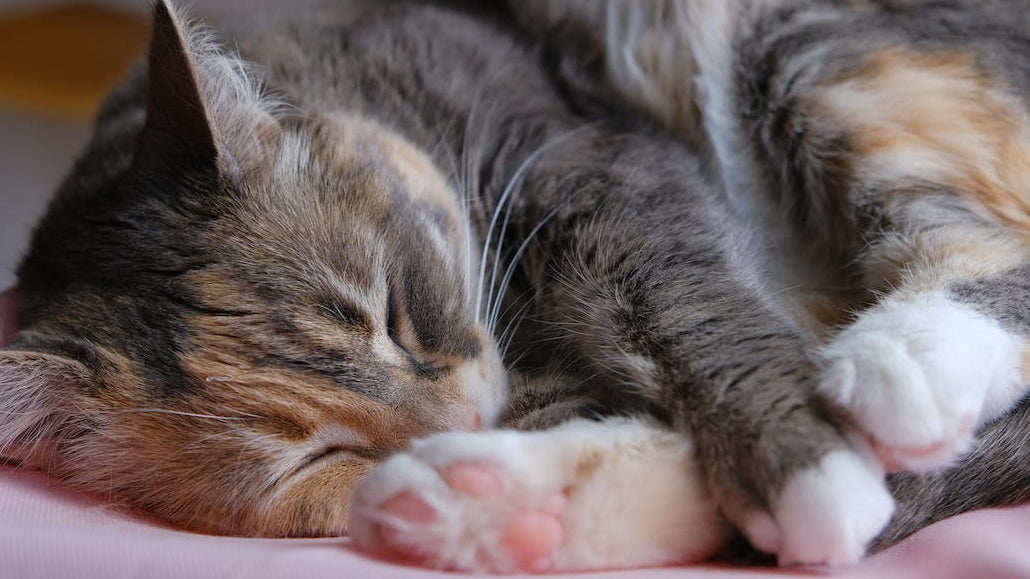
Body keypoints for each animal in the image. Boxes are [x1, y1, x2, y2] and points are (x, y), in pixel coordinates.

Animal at [0, 0, 1025, 568]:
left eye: (393, 313)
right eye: (316, 458)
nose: (465, 422)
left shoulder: (582, 153)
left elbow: (677, 299)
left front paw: (808, 471)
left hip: (808, 46)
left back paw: (910, 360)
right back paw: (492, 503)